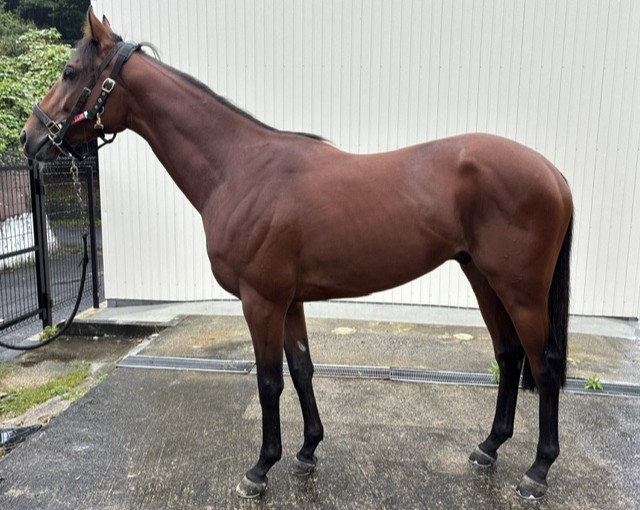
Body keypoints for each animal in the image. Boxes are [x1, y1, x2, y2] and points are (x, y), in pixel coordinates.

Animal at [21, 8, 573, 501]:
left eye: (70, 72)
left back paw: (538, 471)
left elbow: (269, 382)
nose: (30, 138)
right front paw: (307, 453)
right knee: (508, 356)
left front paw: (260, 469)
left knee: (543, 366)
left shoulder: (260, 301)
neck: (239, 169)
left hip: (521, 291)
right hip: (484, 279)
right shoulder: (289, 302)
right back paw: (489, 447)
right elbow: (303, 370)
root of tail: (552, 173)